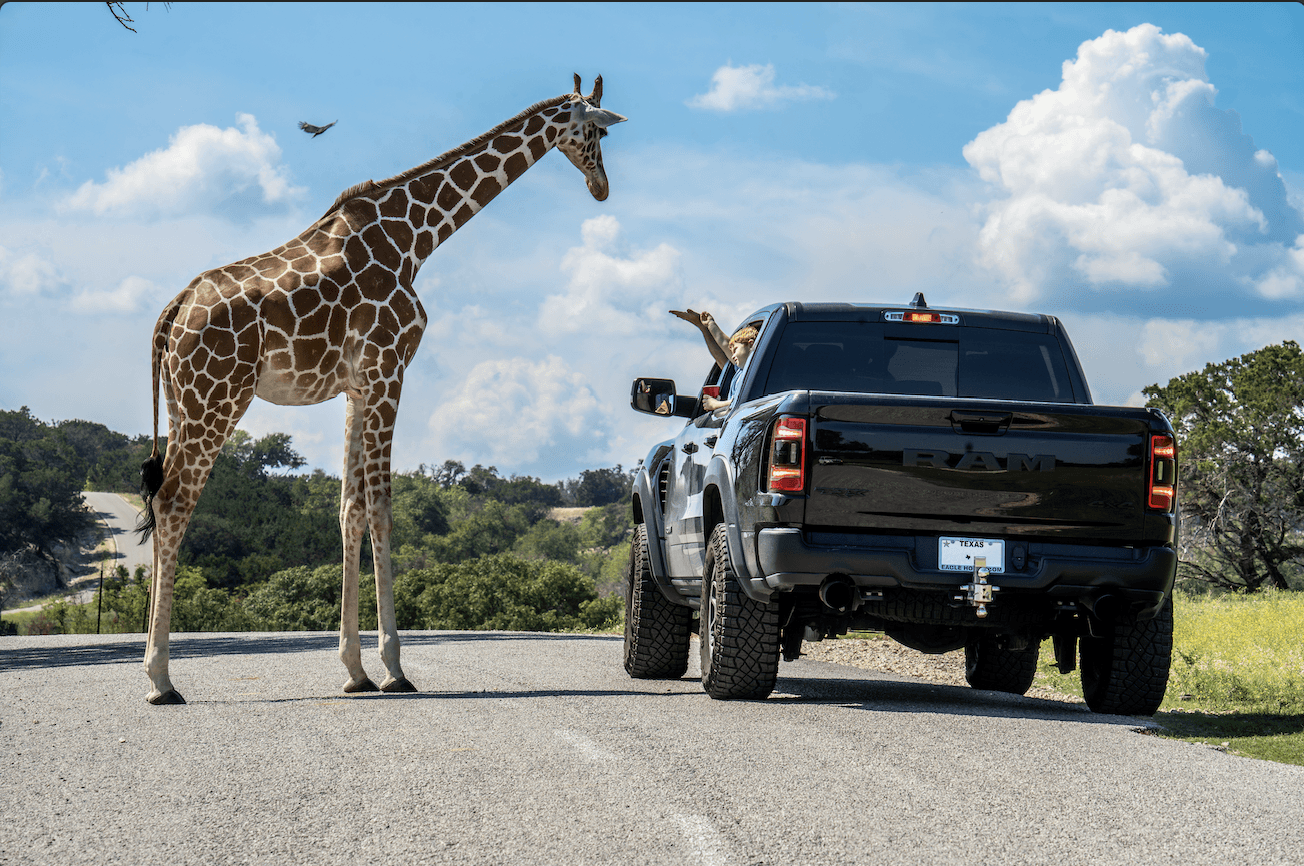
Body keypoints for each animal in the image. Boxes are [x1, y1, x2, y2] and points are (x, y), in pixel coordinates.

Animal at [137, 75, 625, 704]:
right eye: (595, 133)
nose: (601, 187)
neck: (416, 237)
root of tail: (172, 313)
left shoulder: (356, 386)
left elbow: (349, 509)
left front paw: (355, 670)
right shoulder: (390, 368)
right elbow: (383, 509)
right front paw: (394, 668)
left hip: (183, 402)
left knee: (161, 501)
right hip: (217, 396)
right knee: (174, 503)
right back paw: (160, 679)